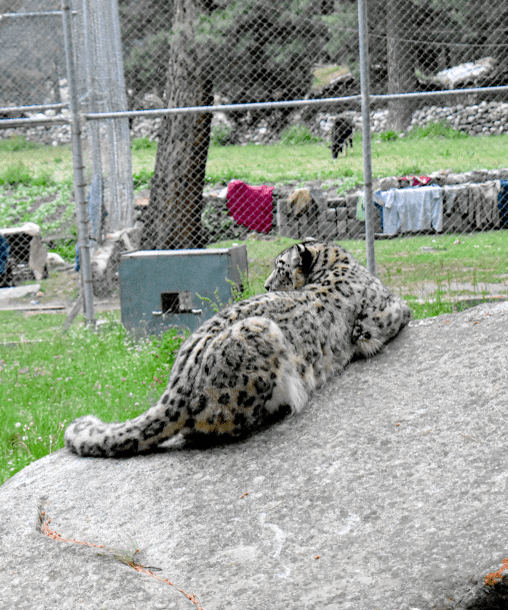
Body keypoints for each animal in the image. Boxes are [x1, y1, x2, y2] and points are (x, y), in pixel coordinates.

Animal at [64, 240, 412, 454]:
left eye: (280, 267)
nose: (267, 285)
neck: (336, 265)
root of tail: (176, 389)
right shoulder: (380, 317)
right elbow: (403, 311)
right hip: (262, 335)